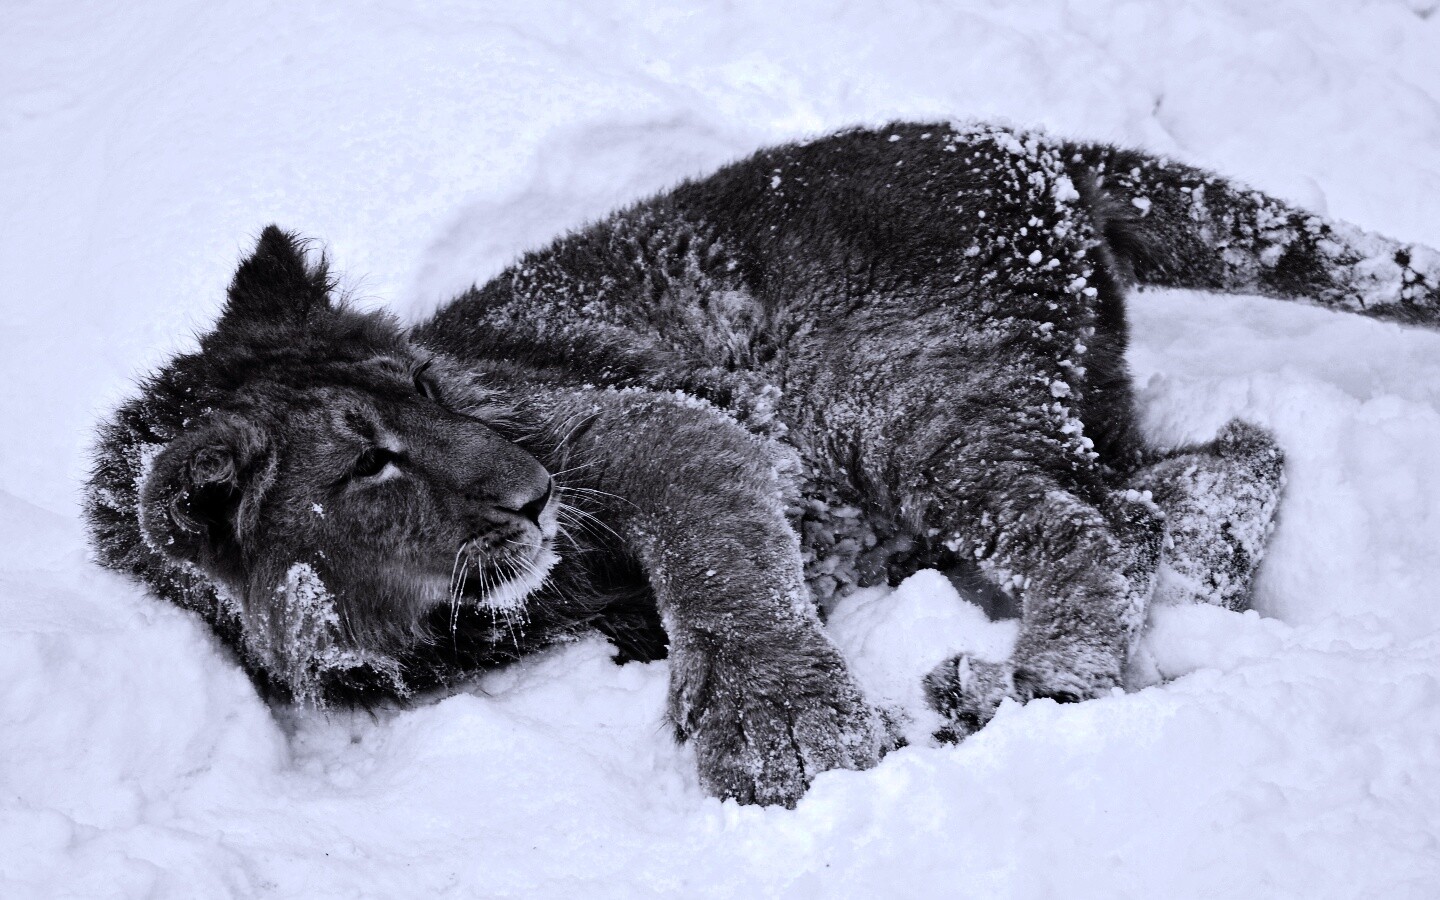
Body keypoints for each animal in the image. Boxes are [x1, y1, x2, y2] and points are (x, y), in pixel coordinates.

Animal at [85, 121, 1440, 807]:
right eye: (368, 468)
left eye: (424, 391)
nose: (529, 492)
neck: (433, 629)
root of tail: (1016, 139)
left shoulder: (642, 425)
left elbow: (719, 562)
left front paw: (785, 730)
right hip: (1029, 405)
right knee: (1217, 468)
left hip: (901, 399)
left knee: (1100, 526)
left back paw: (1032, 683)